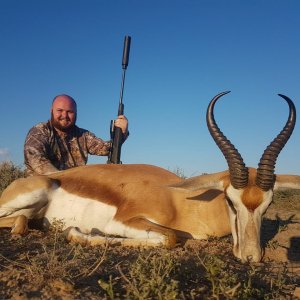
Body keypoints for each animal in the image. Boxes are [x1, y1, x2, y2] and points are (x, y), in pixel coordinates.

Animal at [0, 92, 298, 262]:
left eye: (268, 204)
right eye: (230, 201)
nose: (251, 257)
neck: (180, 200)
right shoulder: (125, 219)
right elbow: (170, 238)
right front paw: (79, 231)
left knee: (22, 220)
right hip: (32, 194)